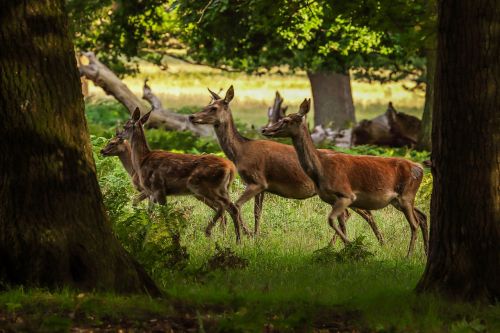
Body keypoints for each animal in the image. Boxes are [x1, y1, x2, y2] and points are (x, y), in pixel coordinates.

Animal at [119, 107, 240, 240]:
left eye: (125, 126)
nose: (118, 136)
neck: (142, 160)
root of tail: (231, 167)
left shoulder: (158, 188)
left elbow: (164, 214)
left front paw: (171, 237)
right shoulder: (151, 193)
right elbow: (150, 213)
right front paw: (144, 235)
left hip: (202, 186)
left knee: (226, 206)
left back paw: (211, 232)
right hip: (220, 188)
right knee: (231, 207)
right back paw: (237, 239)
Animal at [189, 85, 384, 244]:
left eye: (213, 108)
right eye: (206, 104)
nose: (192, 116)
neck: (241, 151)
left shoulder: (257, 180)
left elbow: (237, 206)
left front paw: (247, 234)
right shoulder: (262, 186)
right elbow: (257, 212)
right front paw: (255, 235)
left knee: (361, 213)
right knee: (356, 213)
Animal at [260, 97, 428, 255]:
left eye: (286, 120)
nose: (264, 130)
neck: (320, 168)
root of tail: (420, 168)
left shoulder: (346, 195)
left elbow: (331, 220)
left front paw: (353, 247)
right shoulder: (334, 199)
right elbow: (341, 225)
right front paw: (347, 251)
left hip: (406, 196)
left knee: (414, 224)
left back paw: (408, 255)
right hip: (398, 200)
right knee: (422, 216)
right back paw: (423, 252)